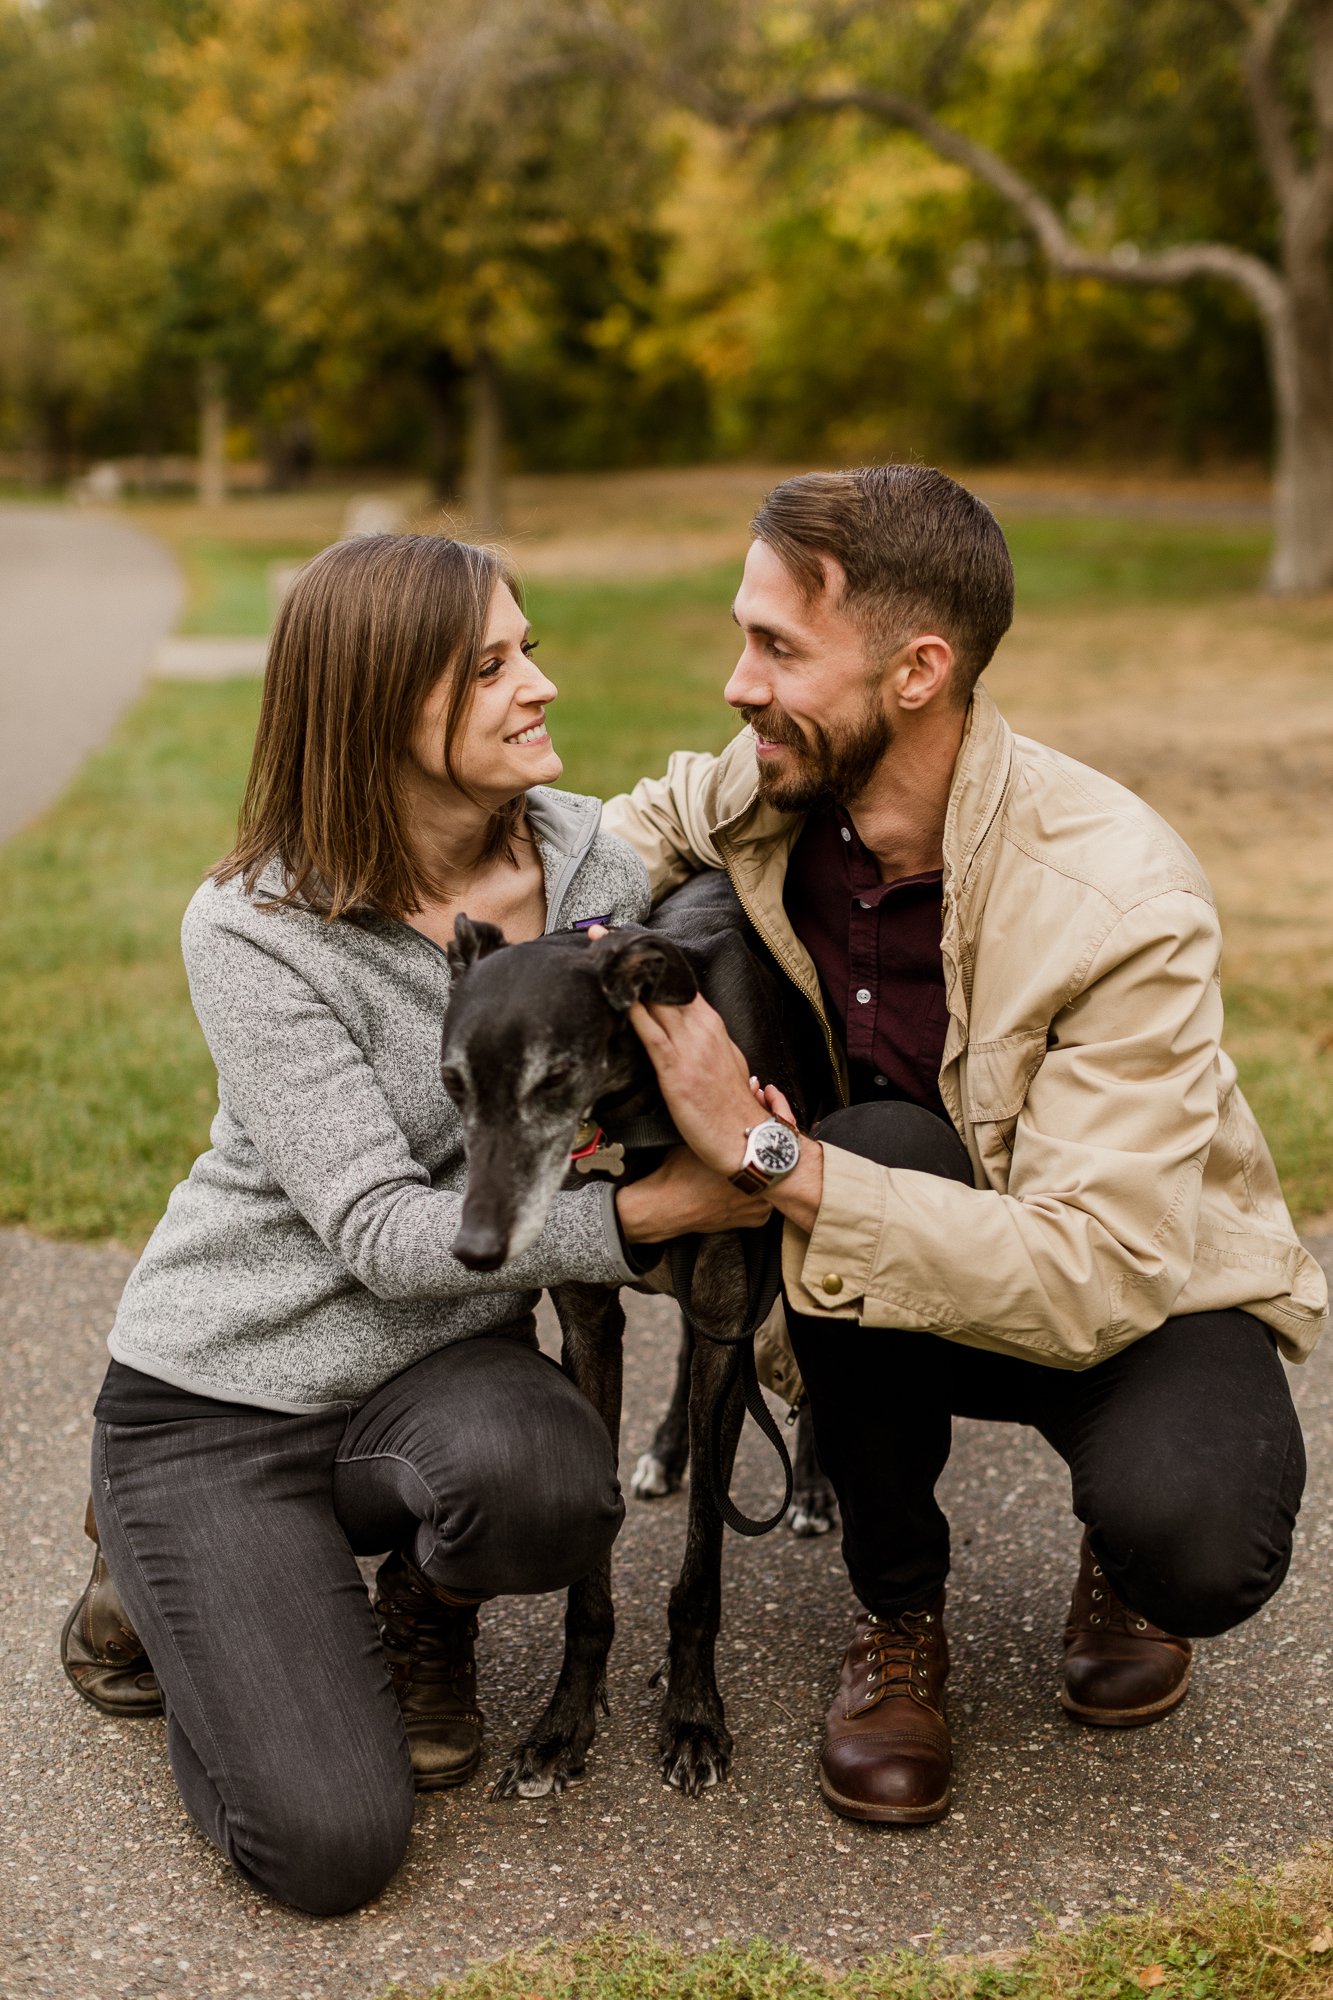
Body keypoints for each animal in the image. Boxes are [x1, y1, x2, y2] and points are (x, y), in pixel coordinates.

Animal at [440, 876, 824, 1800]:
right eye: (452, 1084)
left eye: (554, 1078)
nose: (475, 1250)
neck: (634, 1110)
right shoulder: (591, 1327)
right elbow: (587, 1585)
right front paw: (561, 1725)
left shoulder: (730, 1308)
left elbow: (701, 1567)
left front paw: (691, 1716)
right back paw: (665, 1452)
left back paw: (809, 1489)